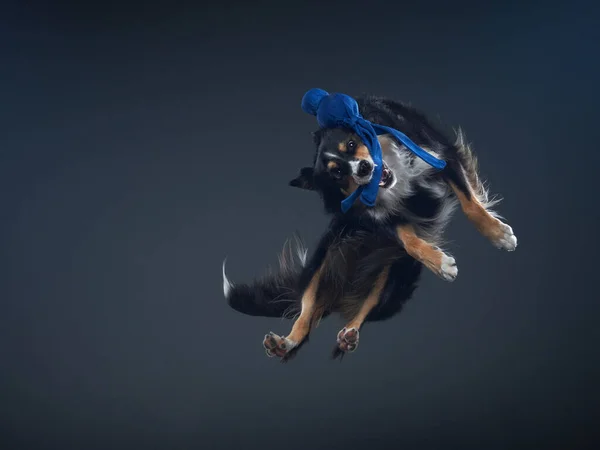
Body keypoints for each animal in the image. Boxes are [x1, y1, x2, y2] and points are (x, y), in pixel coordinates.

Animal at [223, 93, 516, 360]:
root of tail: (341, 294)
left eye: (352, 144)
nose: (363, 168)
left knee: (366, 305)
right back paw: (285, 343)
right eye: (337, 172)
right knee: (307, 313)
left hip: (394, 277)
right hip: (322, 262)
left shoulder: (441, 155)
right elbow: (408, 240)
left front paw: (498, 234)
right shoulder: (379, 216)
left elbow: (470, 204)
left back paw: (348, 335)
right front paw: (441, 263)